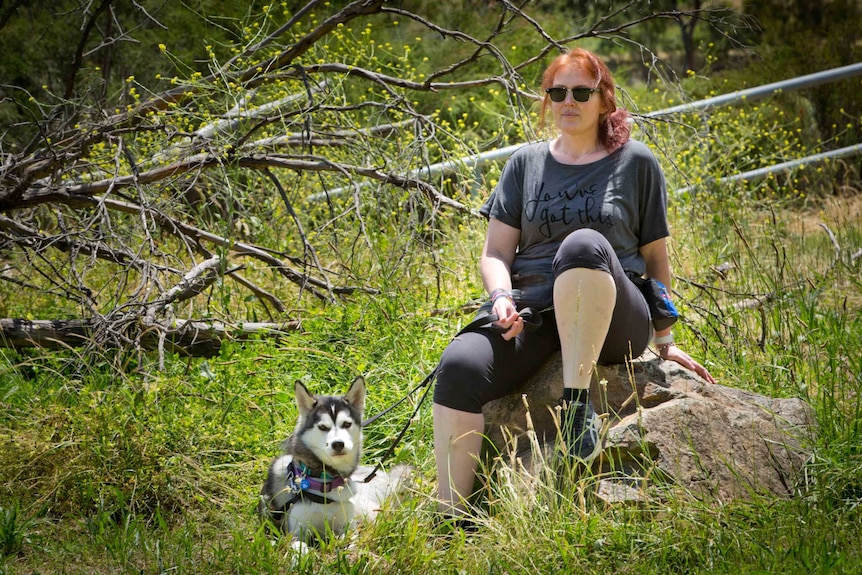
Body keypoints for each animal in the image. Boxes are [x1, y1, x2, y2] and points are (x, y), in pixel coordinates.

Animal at [260, 376, 408, 548]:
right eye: (323, 427)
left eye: (347, 424)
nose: (338, 444)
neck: (325, 483)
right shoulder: (295, 533)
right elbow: (301, 547)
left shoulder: (348, 527)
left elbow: (352, 544)